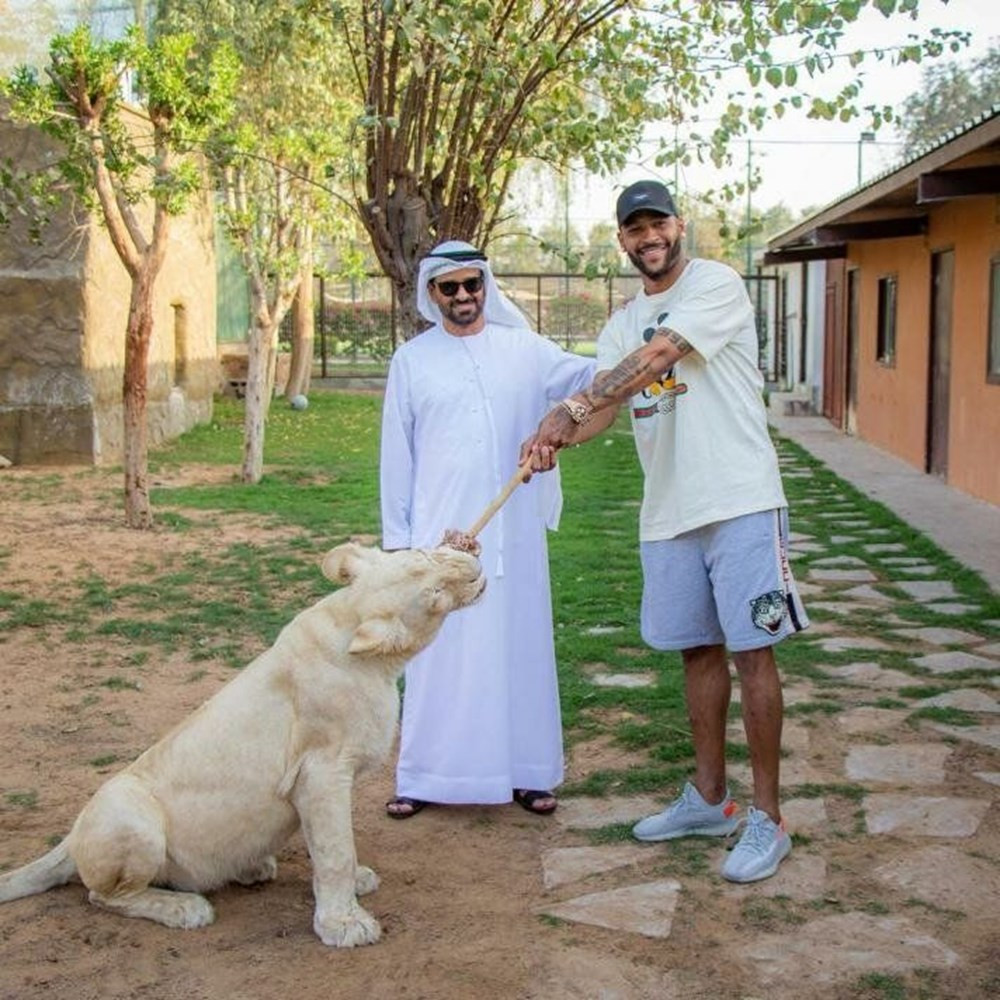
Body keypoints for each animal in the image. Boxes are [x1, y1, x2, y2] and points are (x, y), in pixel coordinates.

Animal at [0, 544, 484, 948]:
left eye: (425, 553)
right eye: (434, 592)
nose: (474, 565)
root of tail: (71, 838)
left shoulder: (315, 784)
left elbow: (328, 845)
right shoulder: (321, 772)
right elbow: (336, 851)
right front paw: (344, 925)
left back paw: (252, 867)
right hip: (128, 815)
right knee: (102, 896)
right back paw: (186, 908)